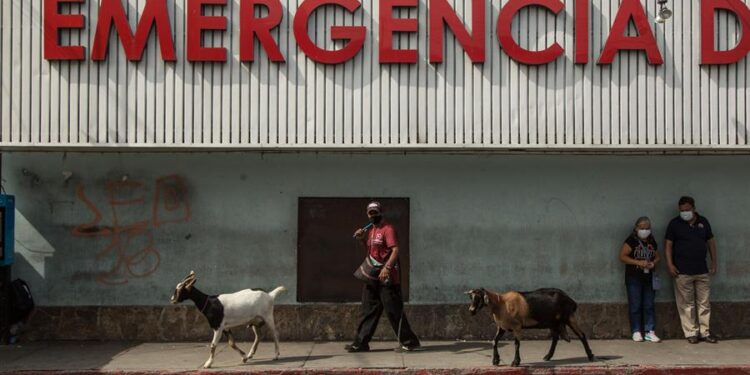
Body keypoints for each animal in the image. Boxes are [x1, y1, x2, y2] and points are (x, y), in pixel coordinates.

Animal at [468, 288, 596, 368]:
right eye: (471, 298)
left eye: (478, 298)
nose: (471, 311)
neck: (501, 304)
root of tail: (571, 301)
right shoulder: (502, 327)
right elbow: (494, 342)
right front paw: (495, 360)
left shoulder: (517, 326)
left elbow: (517, 344)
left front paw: (515, 362)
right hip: (554, 322)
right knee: (555, 338)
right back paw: (548, 356)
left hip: (569, 317)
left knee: (581, 335)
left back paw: (590, 356)